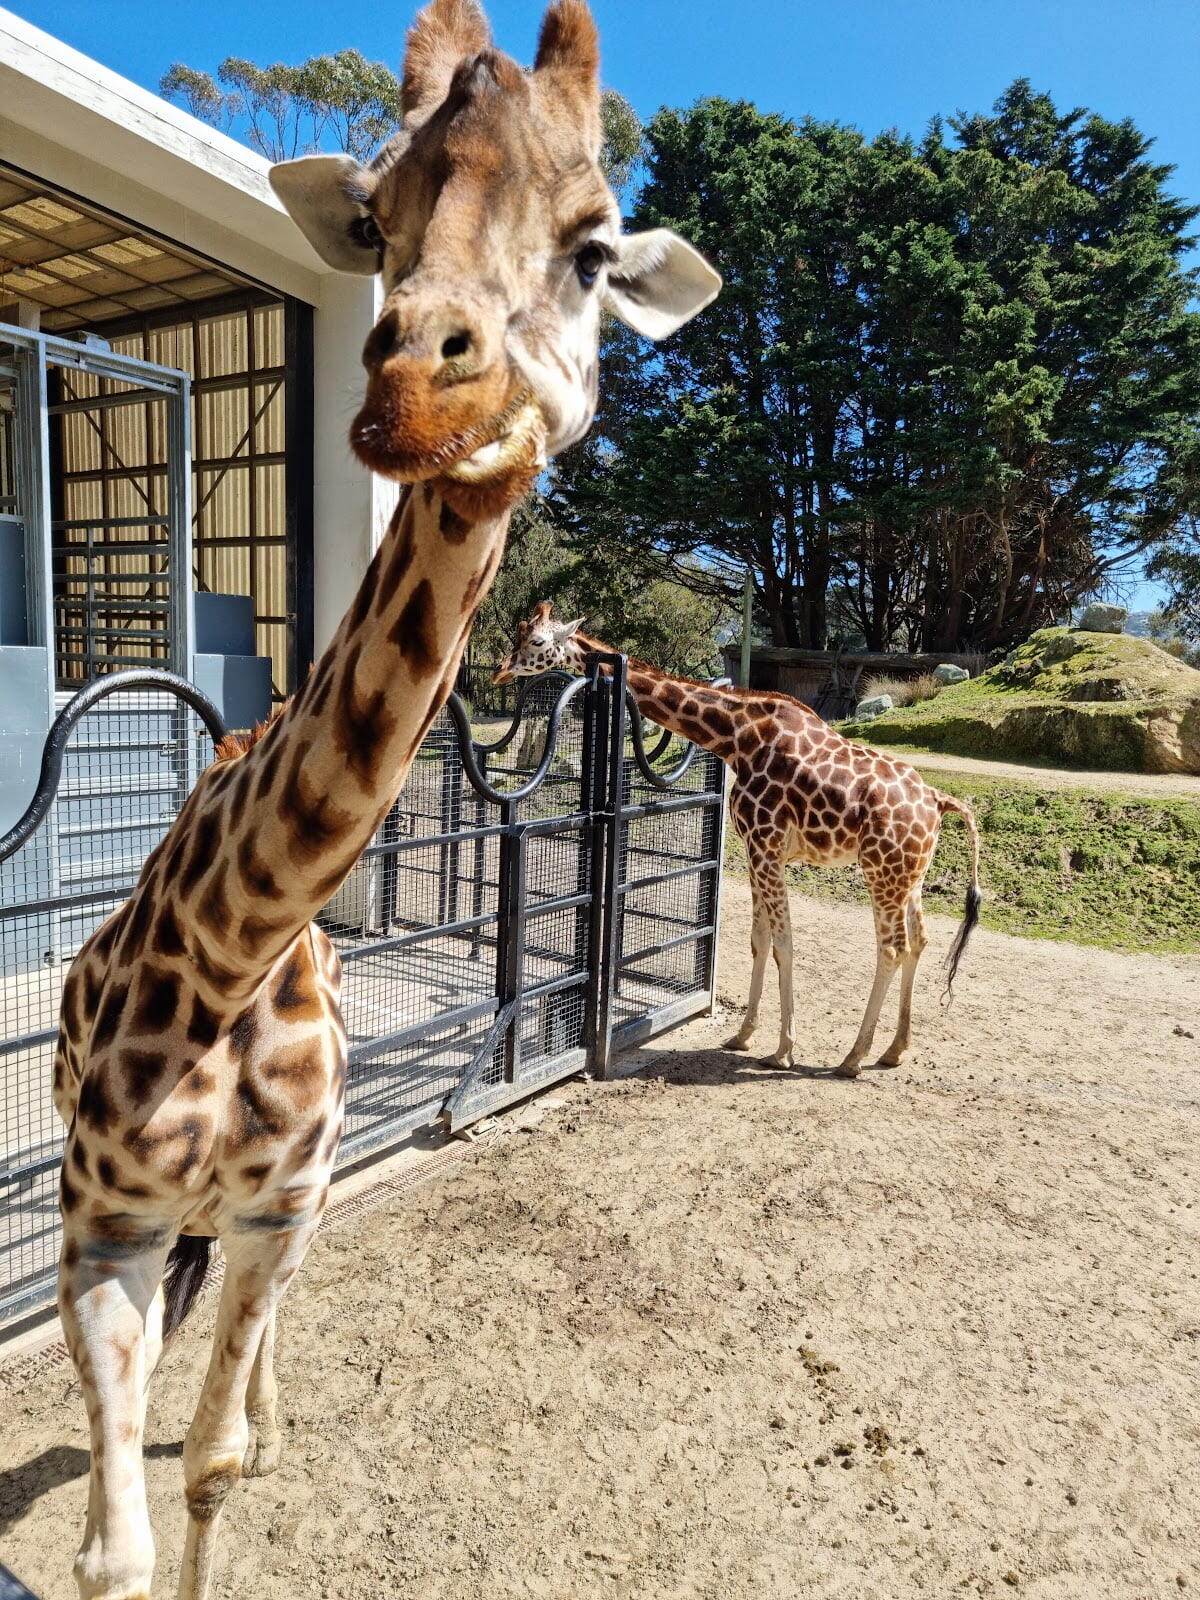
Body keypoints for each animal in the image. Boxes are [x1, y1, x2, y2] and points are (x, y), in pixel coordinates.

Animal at [51, 6, 720, 1593]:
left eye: (594, 248)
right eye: (373, 220)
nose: (421, 384)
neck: (229, 954)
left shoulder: (281, 1206)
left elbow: (213, 1467)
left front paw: (250, 1438)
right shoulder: (98, 1231)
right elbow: (111, 1551)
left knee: (249, 1360)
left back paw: (273, 1406)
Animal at [492, 604, 979, 1081]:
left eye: (536, 640)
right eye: (515, 634)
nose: (499, 670)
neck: (735, 737)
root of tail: (939, 801)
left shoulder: (766, 844)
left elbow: (783, 944)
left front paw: (783, 1050)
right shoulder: (753, 848)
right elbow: (758, 940)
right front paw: (743, 1035)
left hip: (882, 871)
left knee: (892, 948)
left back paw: (854, 1057)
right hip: (910, 876)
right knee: (919, 940)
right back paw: (895, 1050)